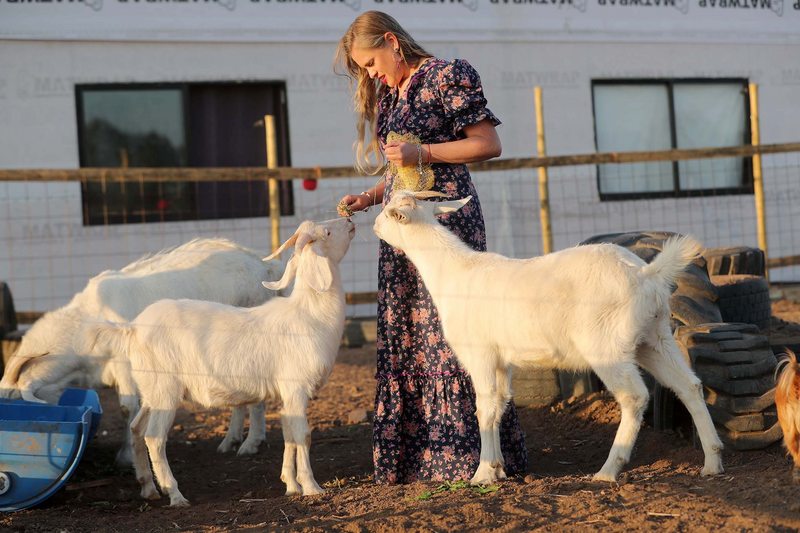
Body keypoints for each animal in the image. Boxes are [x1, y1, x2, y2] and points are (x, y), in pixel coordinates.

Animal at [0, 239, 282, 464]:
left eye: (14, 401)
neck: (86, 320)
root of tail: (265, 266)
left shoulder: (125, 365)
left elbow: (127, 408)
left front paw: (126, 456)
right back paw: (230, 440)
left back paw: (251, 443)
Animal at [83, 218, 354, 504]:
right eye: (327, 232)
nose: (349, 221)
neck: (309, 314)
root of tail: (132, 329)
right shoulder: (297, 387)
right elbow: (303, 435)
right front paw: (312, 487)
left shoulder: (288, 394)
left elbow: (289, 434)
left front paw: (291, 485)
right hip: (166, 391)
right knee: (154, 438)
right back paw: (175, 494)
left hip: (152, 389)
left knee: (136, 428)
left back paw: (148, 488)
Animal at [376, 190, 724, 482]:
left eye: (389, 212)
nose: (376, 225)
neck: (454, 273)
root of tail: (645, 274)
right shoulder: (502, 360)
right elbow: (500, 404)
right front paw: (499, 469)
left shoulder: (480, 354)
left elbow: (484, 408)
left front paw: (482, 474)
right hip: (653, 338)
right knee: (689, 385)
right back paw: (712, 461)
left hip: (607, 346)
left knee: (634, 396)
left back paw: (608, 470)